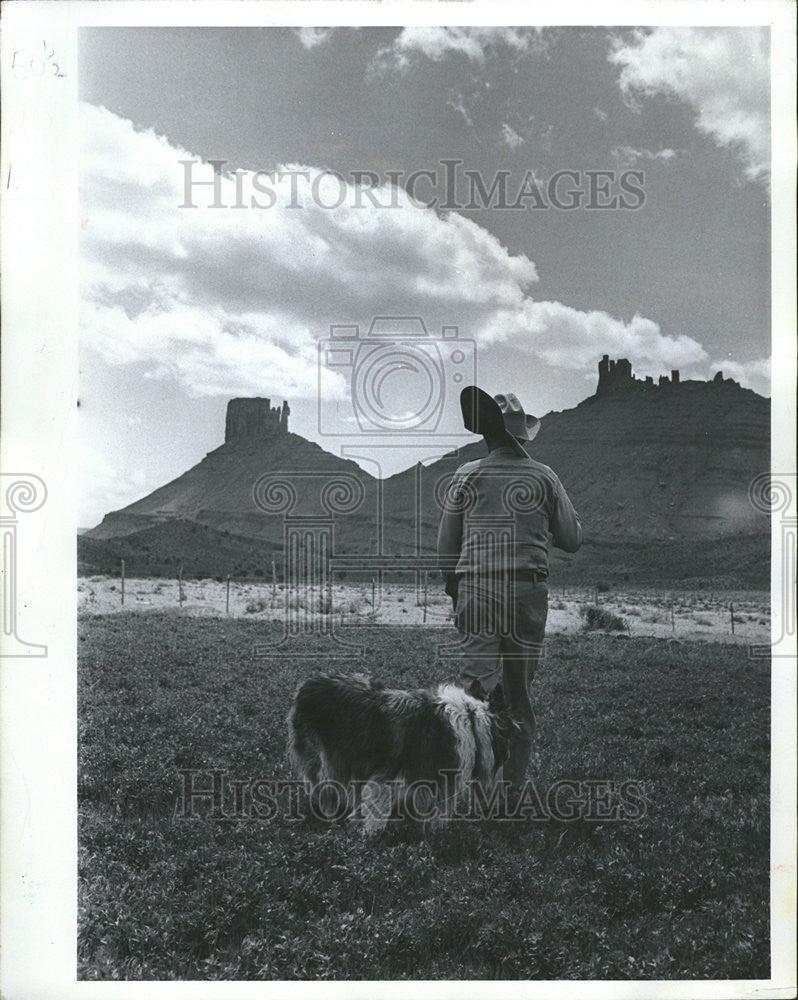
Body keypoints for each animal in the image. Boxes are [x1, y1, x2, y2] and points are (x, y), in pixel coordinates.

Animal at [288, 676, 520, 832]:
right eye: (511, 732)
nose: (509, 757)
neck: (472, 719)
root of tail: (307, 684)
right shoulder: (387, 775)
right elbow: (378, 811)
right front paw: (371, 838)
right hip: (323, 756)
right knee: (324, 787)